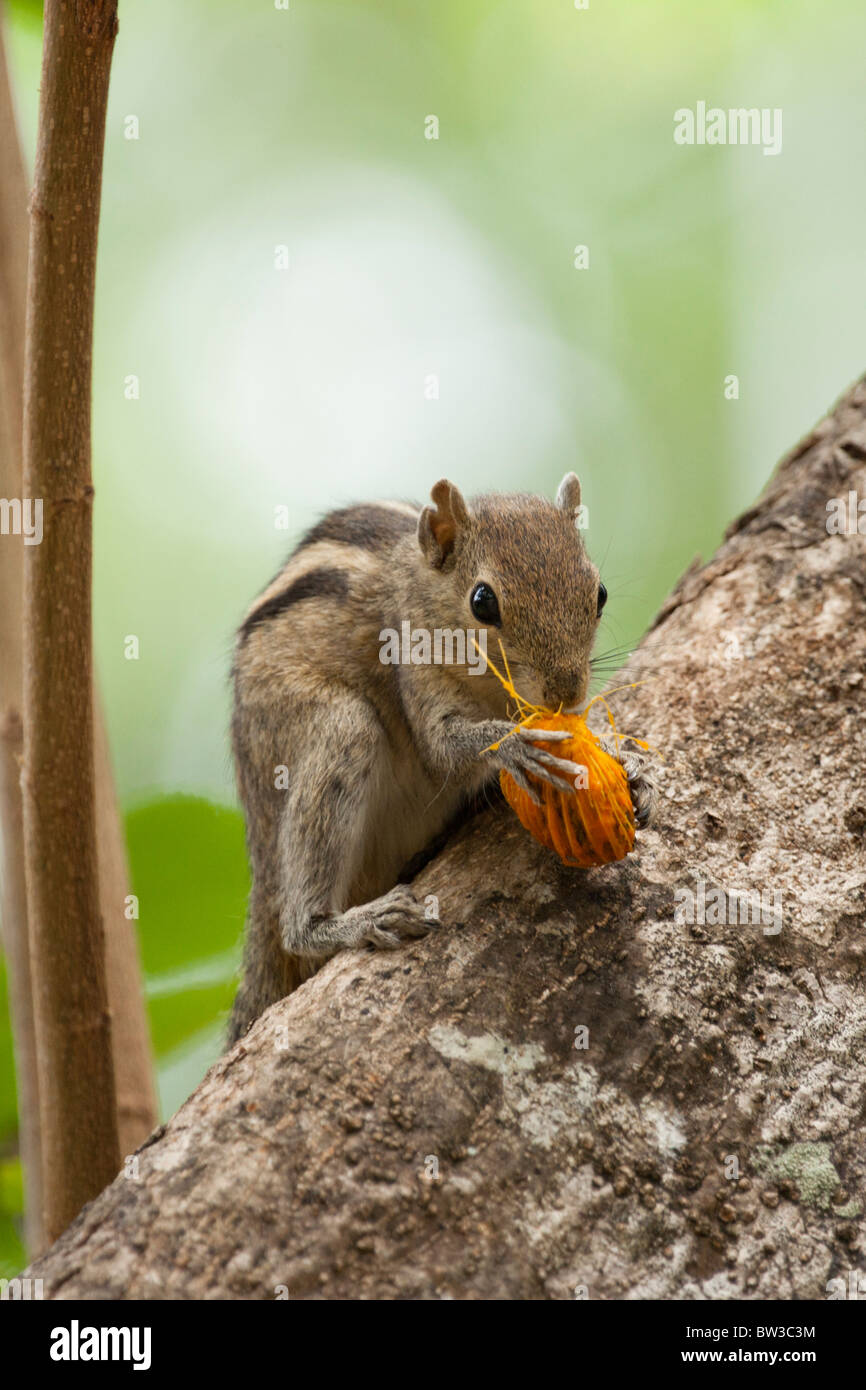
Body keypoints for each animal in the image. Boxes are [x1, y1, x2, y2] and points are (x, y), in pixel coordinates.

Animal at [226, 475, 653, 1045]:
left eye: (599, 593)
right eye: (482, 601)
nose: (566, 691)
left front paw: (626, 762)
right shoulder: (413, 664)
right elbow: (442, 749)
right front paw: (516, 745)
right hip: (331, 731)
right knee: (296, 926)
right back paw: (341, 924)